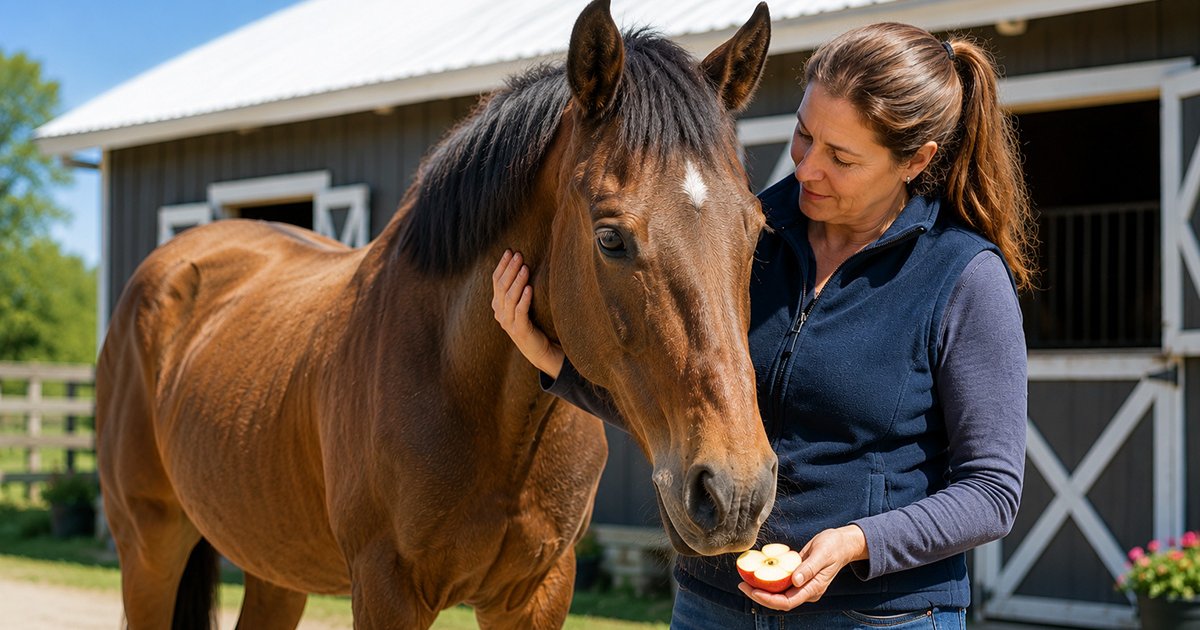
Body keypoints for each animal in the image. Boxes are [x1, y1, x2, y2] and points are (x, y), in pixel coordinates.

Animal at [96, 1, 777, 627]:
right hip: (150, 548)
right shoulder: (387, 589)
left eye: (756, 230)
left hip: (275, 567)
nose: (736, 491)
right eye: (610, 238)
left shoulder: (538, 593)